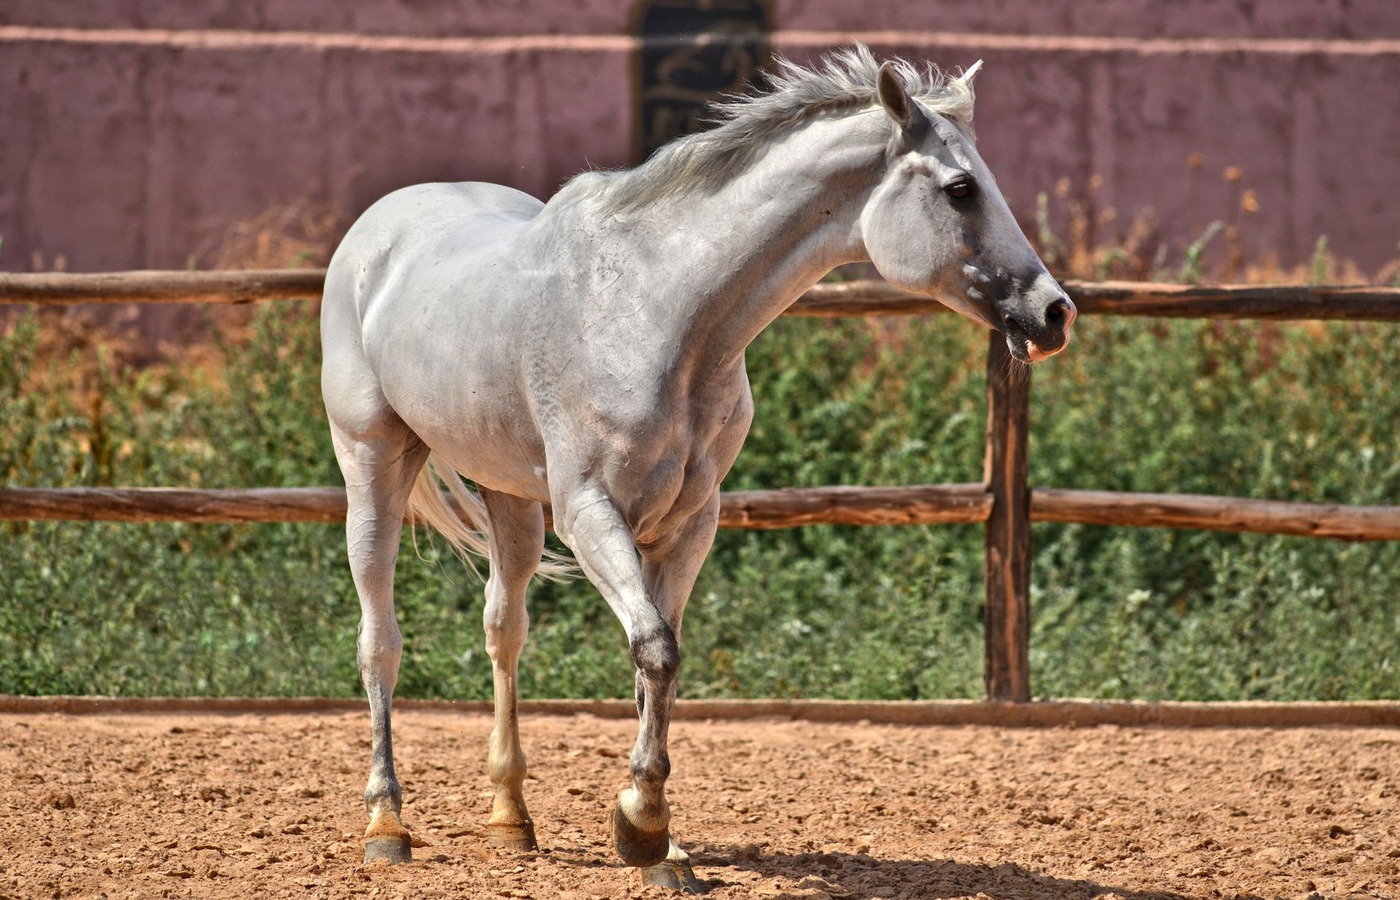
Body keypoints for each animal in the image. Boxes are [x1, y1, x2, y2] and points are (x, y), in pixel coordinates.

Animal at [320, 45, 1075, 892]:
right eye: (960, 188)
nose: (1054, 313)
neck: (659, 309)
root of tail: (377, 231)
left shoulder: (688, 521)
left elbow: (657, 662)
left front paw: (660, 842)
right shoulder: (590, 513)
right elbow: (655, 648)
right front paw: (642, 827)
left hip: (509, 497)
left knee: (502, 630)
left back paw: (511, 819)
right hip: (373, 466)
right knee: (380, 640)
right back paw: (386, 826)